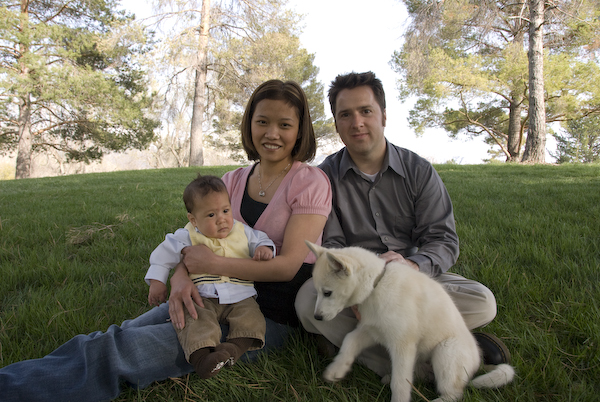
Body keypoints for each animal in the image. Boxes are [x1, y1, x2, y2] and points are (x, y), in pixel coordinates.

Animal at [305, 241, 515, 402]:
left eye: (327, 293)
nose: (317, 317)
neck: (377, 285)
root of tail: (478, 362)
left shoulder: (403, 345)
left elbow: (400, 383)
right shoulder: (371, 330)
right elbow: (349, 341)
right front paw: (337, 369)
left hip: (445, 352)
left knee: (454, 394)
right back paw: (388, 376)